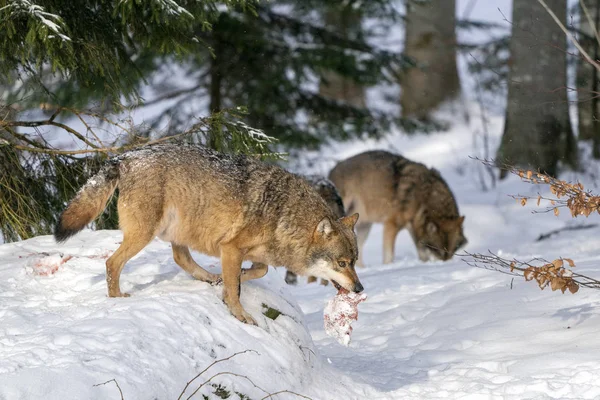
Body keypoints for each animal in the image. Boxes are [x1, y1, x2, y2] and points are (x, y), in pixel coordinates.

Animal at [56, 144, 364, 324]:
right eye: (342, 263)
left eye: (355, 262)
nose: (360, 288)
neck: (285, 215)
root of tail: (126, 156)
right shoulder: (231, 248)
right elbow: (238, 288)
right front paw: (240, 313)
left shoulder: (251, 254)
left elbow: (256, 271)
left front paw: (227, 283)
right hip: (144, 233)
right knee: (112, 263)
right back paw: (117, 298)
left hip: (176, 229)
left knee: (180, 258)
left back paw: (208, 277)